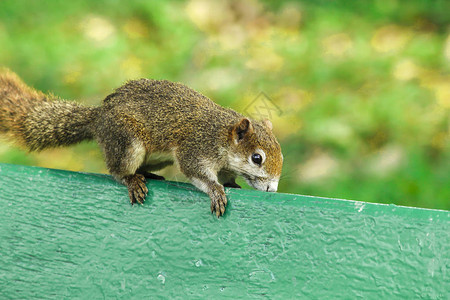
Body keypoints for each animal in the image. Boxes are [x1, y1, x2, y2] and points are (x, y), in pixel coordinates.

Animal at [0, 69, 282, 216]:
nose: (272, 189)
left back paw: (148, 175)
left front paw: (232, 184)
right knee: (117, 170)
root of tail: (99, 118)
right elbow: (197, 173)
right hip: (128, 143)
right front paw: (216, 190)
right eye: (257, 158)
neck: (221, 135)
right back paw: (132, 180)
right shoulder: (196, 148)